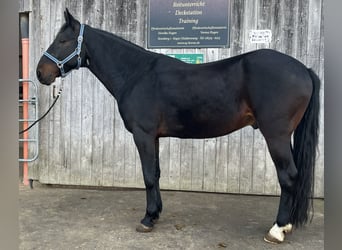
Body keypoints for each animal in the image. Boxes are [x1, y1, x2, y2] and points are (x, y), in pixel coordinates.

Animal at [36, 9, 320, 244]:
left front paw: (147, 220)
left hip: (276, 136)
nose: (41, 73)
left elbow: (148, 176)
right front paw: (155, 214)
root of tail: (303, 69)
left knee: (288, 176)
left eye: (63, 41)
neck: (137, 74)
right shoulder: (154, 137)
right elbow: (156, 173)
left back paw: (278, 229)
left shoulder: (143, 135)